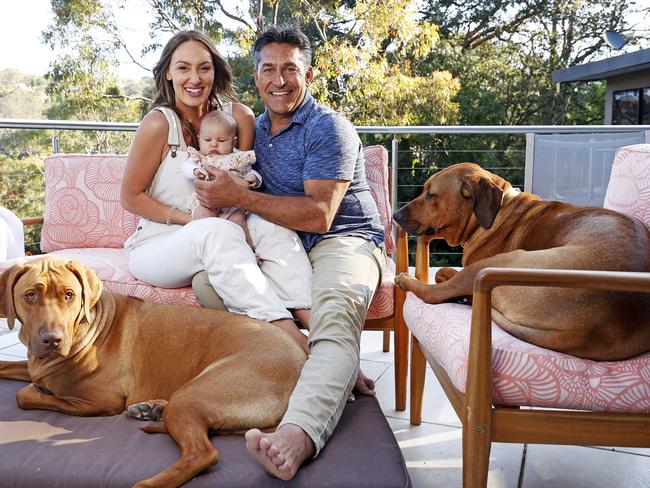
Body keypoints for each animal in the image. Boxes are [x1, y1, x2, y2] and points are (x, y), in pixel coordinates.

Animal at [0, 258, 304, 486]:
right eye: (30, 295)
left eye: (69, 295)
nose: (52, 340)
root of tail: (301, 361)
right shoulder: (34, 365)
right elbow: (8, 366)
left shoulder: (99, 402)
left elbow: (26, 396)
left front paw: (40, 390)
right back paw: (151, 408)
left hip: (194, 397)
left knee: (203, 454)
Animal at [390, 164, 648, 362]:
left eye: (430, 194)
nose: (395, 216)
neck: (496, 212)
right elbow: (443, 271)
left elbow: (441, 276)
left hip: (502, 262)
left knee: (434, 293)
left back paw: (409, 280)